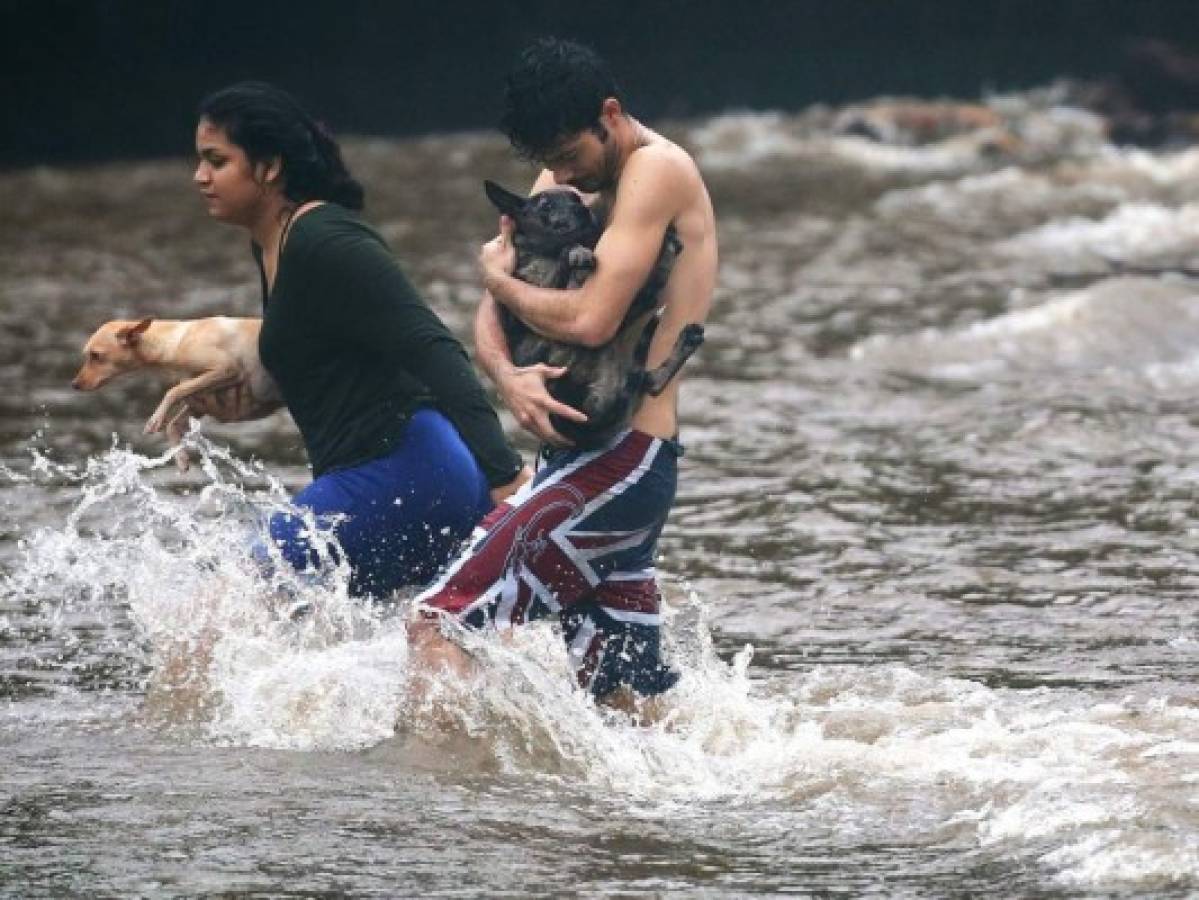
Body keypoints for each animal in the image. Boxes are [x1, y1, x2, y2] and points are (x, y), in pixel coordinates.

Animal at [71, 318, 280, 472]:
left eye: (96, 355)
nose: (74, 384)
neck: (176, 341)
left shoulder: (226, 369)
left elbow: (173, 392)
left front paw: (155, 419)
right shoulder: (199, 403)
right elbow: (173, 424)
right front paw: (181, 458)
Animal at [479, 180, 700, 448]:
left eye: (575, 198)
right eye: (545, 205)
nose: (582, 211)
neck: (544, 253)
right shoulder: (521, 310)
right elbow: (565, 258)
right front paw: (575, 252)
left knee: (649, 378)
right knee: (648, 374)